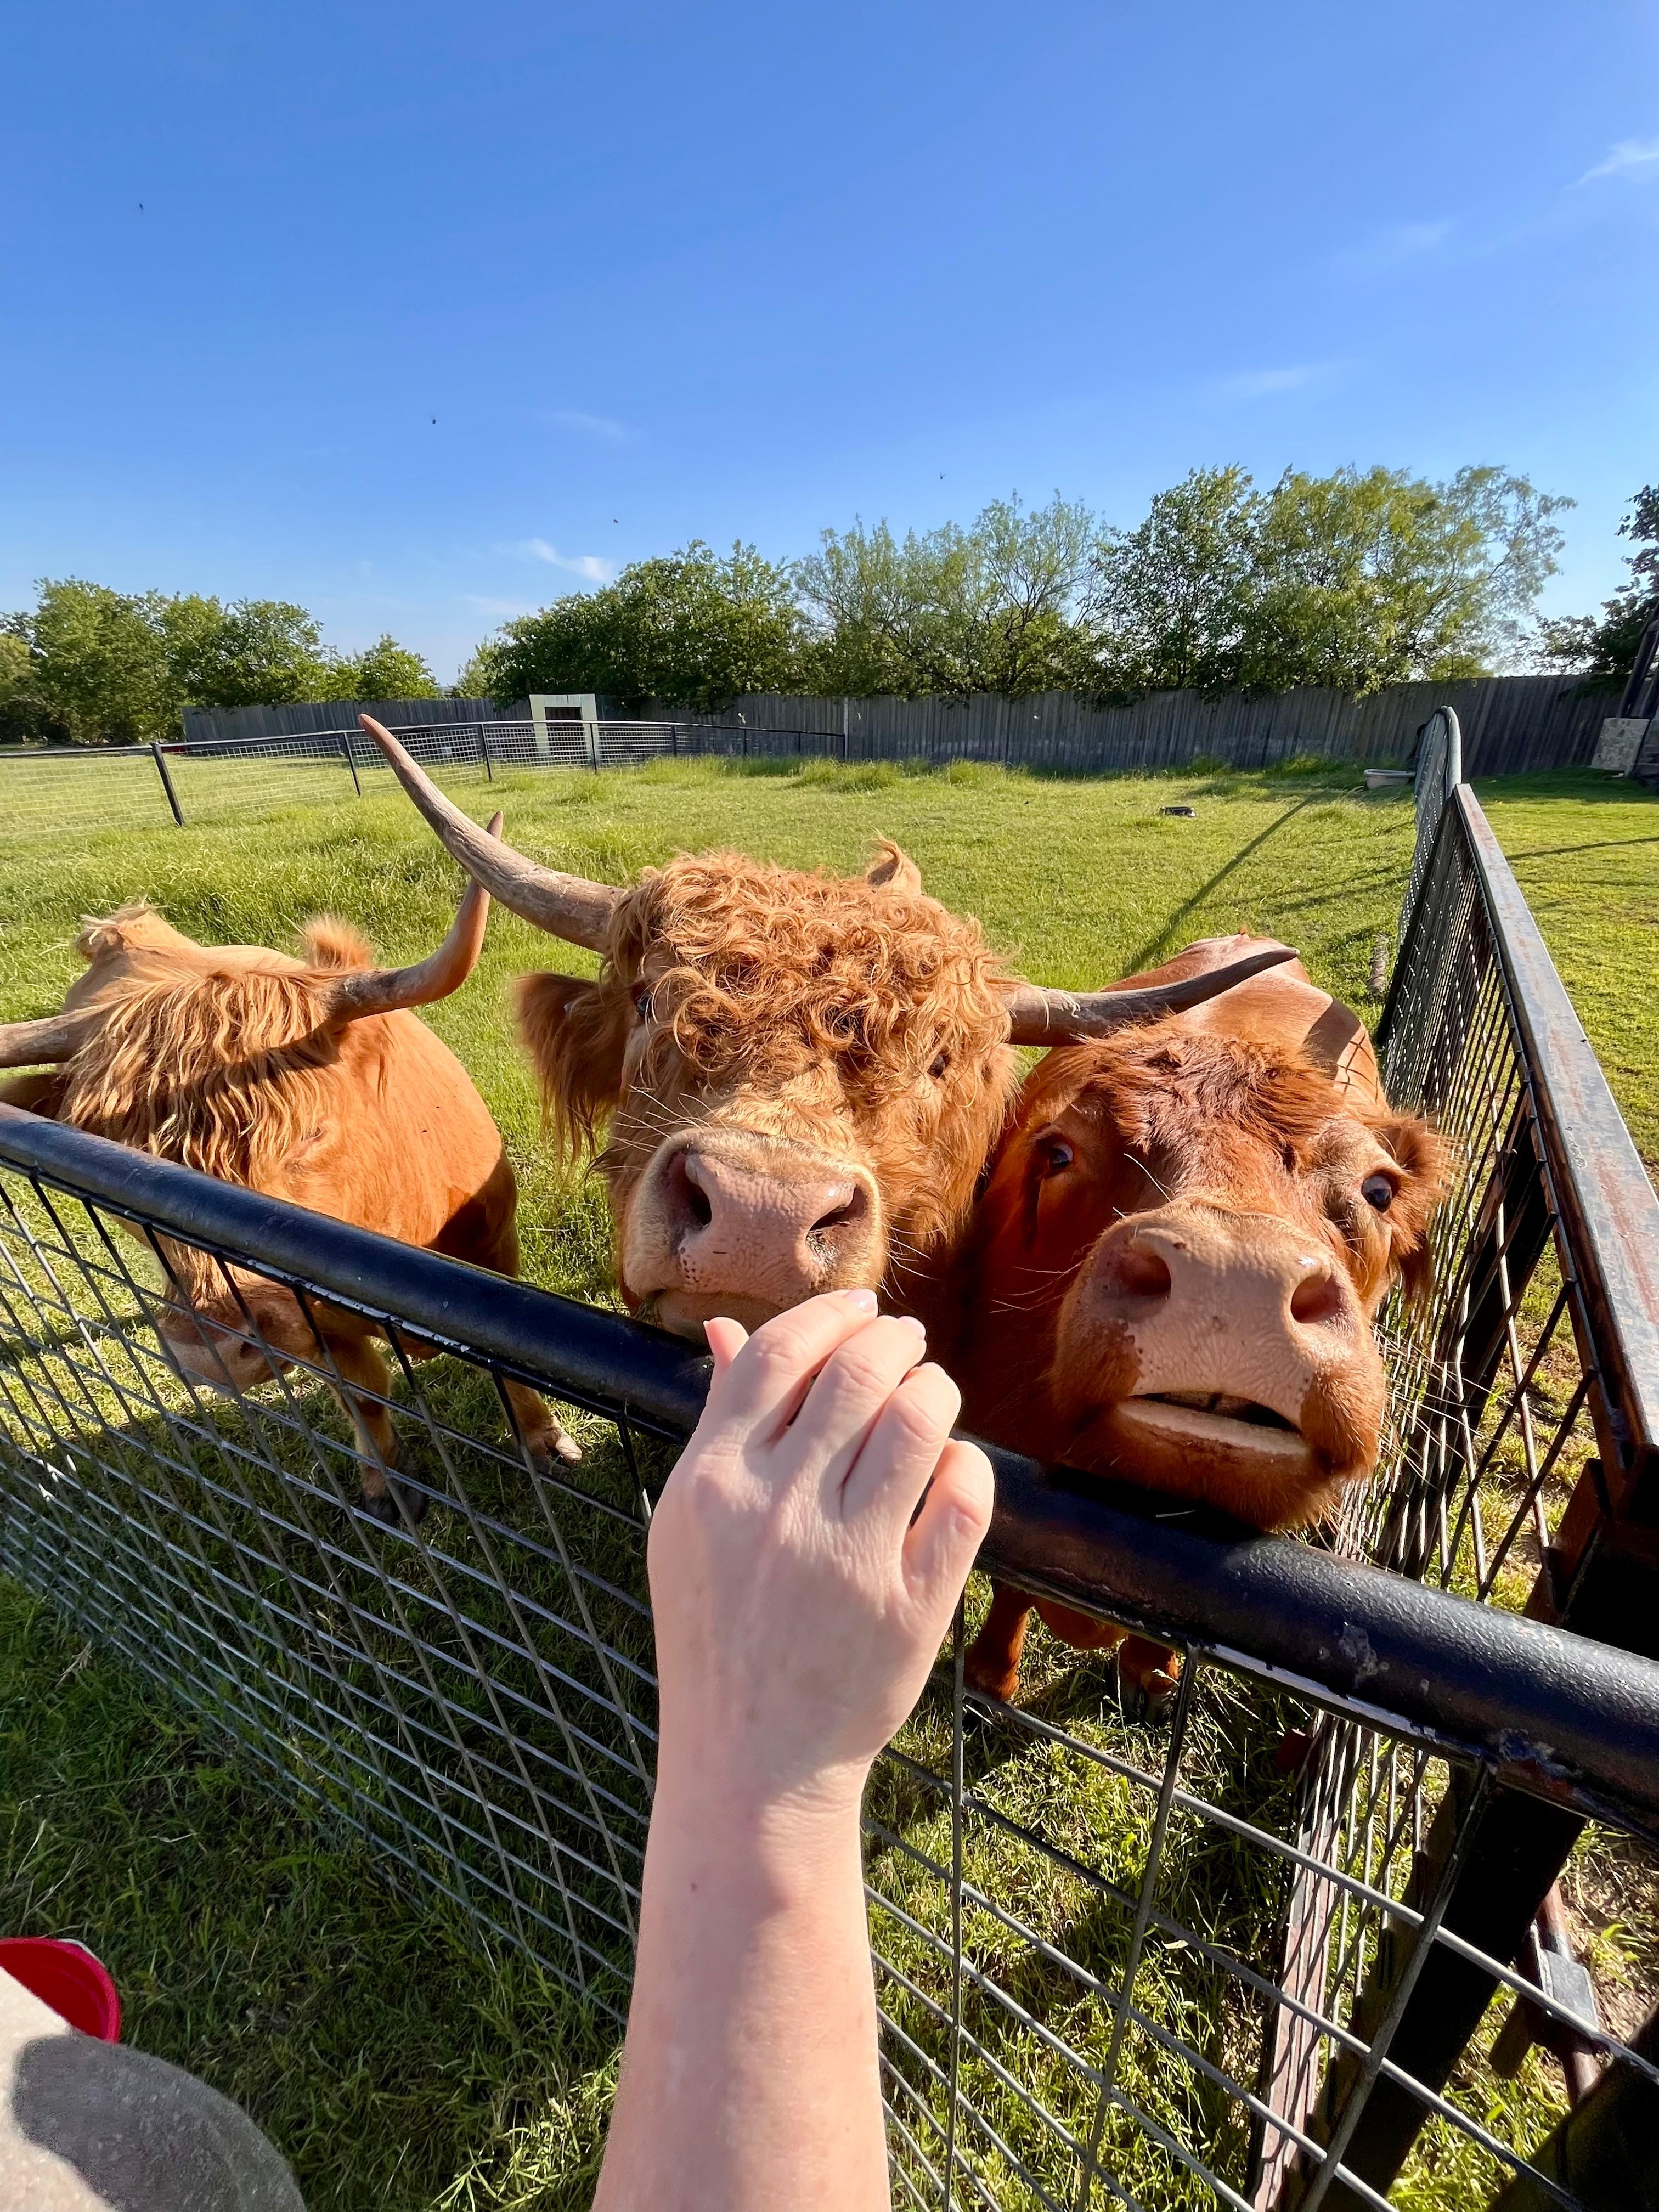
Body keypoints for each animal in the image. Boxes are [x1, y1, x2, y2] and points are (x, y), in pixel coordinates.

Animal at [0, 826, 576, 1521]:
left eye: (312, 1134)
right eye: (121, 1164)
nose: (212, 1349)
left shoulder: (497, 1257)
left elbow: (513, 1376)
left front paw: (547, 1444)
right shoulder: (319, 1332)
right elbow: (363, 1395)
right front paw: (387, 1488)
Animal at [938, 936, 1447, 1715]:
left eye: (1378, 1190)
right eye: (1059, 1153)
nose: (1234, 1281)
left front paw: (1151, 1677)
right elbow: (1012, 1579)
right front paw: (991, 1682)